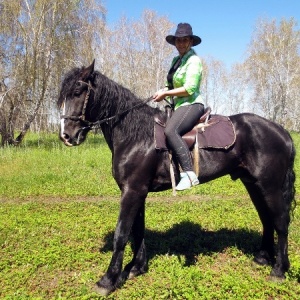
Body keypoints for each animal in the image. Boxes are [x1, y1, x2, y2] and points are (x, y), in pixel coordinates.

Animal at [58, 60, 296, 296]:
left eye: (77, 92)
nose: (67, 136)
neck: (136, 136)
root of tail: (282, 131)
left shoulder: (132, 192)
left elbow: (122, 234)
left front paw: (108, 280)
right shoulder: (138, 192)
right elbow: (137, 231)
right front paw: (137, 267)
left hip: (270, 187)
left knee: (281, 222)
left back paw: (279, 270)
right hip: (253, 185)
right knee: (266, 219)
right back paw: (262, 258)